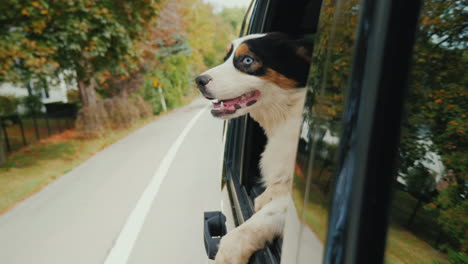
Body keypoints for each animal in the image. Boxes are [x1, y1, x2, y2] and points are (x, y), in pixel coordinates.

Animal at [196, 33, 312, 264]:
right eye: (226, 57)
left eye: (247, 60)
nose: (199, 81)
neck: (288, 116)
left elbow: (260, 219)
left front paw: (227, 253)